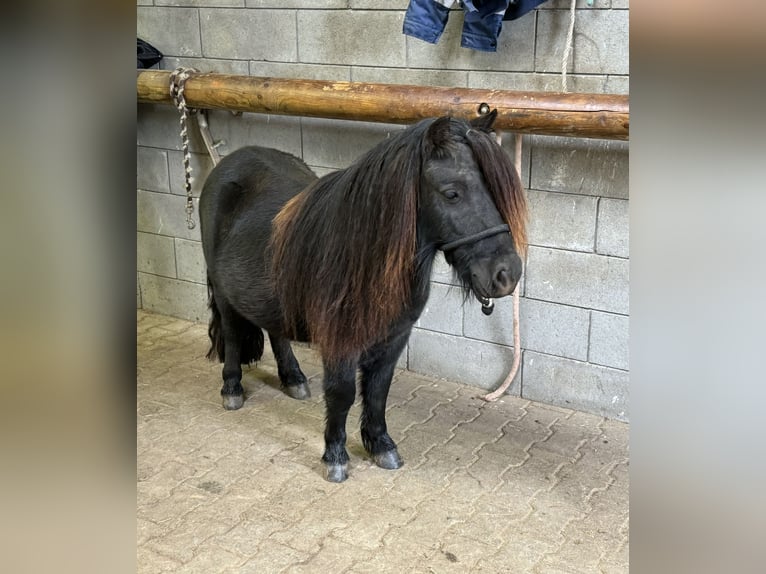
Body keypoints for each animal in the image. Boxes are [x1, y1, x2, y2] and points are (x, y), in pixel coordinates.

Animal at [200, 110, 528, 484]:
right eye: (452, 193)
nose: (506, 274)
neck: (365, 258)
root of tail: (228, 165)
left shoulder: (394, 337)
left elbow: (377, 390)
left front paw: (381, 445)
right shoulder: (340, 341)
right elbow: (342, 393)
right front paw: (335, 457)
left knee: (276, 331)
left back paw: (293, 380)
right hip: (224, 294)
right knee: (232, 335)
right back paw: (232, 390)